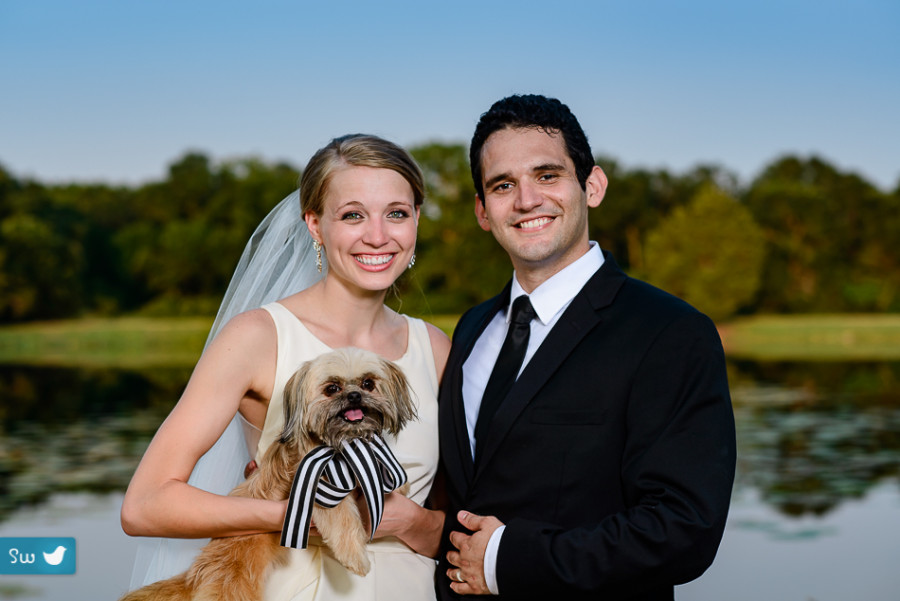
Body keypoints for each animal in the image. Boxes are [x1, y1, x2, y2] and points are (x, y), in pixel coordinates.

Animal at [121, 346, 416, 600]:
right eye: (332, 389)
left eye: (368, 383)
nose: (354, 396)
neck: (347, 446)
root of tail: (196, 575)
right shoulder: (320, 487)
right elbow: (343, 520)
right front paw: (356, 558)